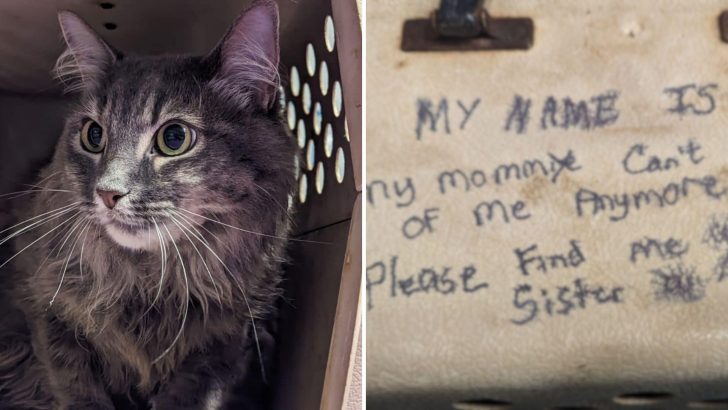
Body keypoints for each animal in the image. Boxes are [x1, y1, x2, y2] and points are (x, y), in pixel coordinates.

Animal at [0, 1, 298, 408]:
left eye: (174, 138)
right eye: (93, 135)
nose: (108, 193)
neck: (150, 283)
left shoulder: (228, 344)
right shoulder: (46, 313)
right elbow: (77, 390)